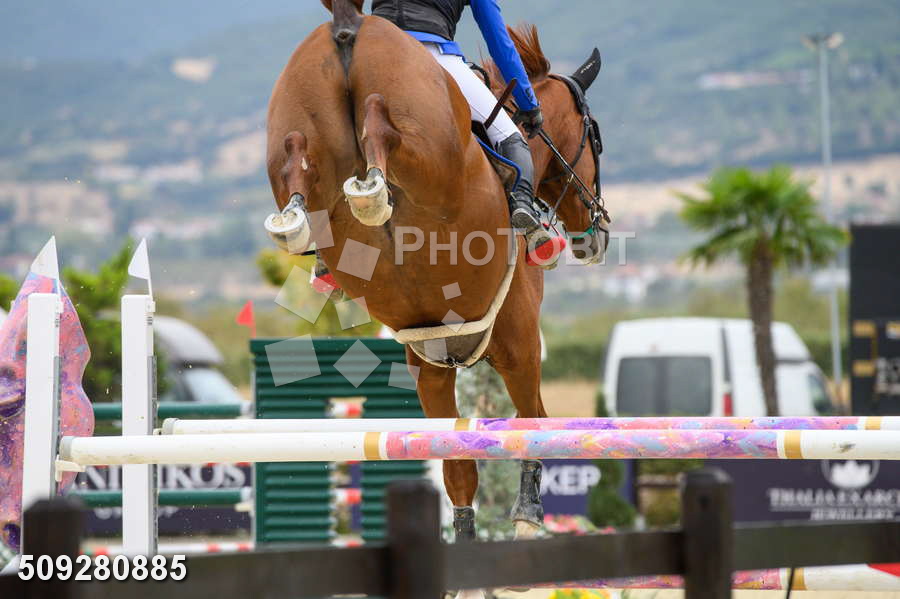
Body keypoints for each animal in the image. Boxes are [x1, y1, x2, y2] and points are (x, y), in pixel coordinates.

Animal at [264, 0, 606, 546]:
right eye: (596, 138)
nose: (596, 236)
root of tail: (350, 26)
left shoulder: (431, 364)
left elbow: (459, 466)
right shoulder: (519, 344)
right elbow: (532, 422)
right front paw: (527, 514)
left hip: (297, 122)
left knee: (298, 153)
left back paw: (306, 215)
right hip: (431, 158)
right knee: (383, 130)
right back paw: (372, 188)